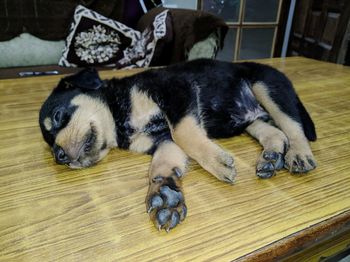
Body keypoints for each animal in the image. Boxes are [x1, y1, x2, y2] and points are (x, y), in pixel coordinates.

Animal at [39, 58, 318, 231]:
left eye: (58, 116)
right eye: (49, 143)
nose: (59, 156)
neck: (120, 120)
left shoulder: (175, 92)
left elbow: (184, 132)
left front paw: (216, 162)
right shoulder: (162, 141)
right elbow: (162, 164)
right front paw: (164, 194)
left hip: (267, 87)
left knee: (293, 127)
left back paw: (299, 155)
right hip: (251, 120)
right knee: (275, 132)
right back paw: (271, 156)